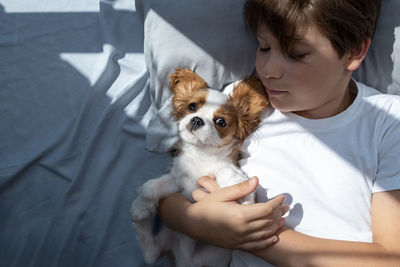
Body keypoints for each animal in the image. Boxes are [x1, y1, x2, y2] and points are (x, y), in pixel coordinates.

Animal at [131, 69, 268, 267]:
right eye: (192, 107)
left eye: (221, 122)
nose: (196, 120)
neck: (201, 156)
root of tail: (182, 259)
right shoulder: (177, 180)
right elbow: (150, 187)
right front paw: (140, 206)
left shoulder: (225, 170)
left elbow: (228, 172)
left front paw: (241, 192)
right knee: (151, 253)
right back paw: (141, 220)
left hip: (212, 255)